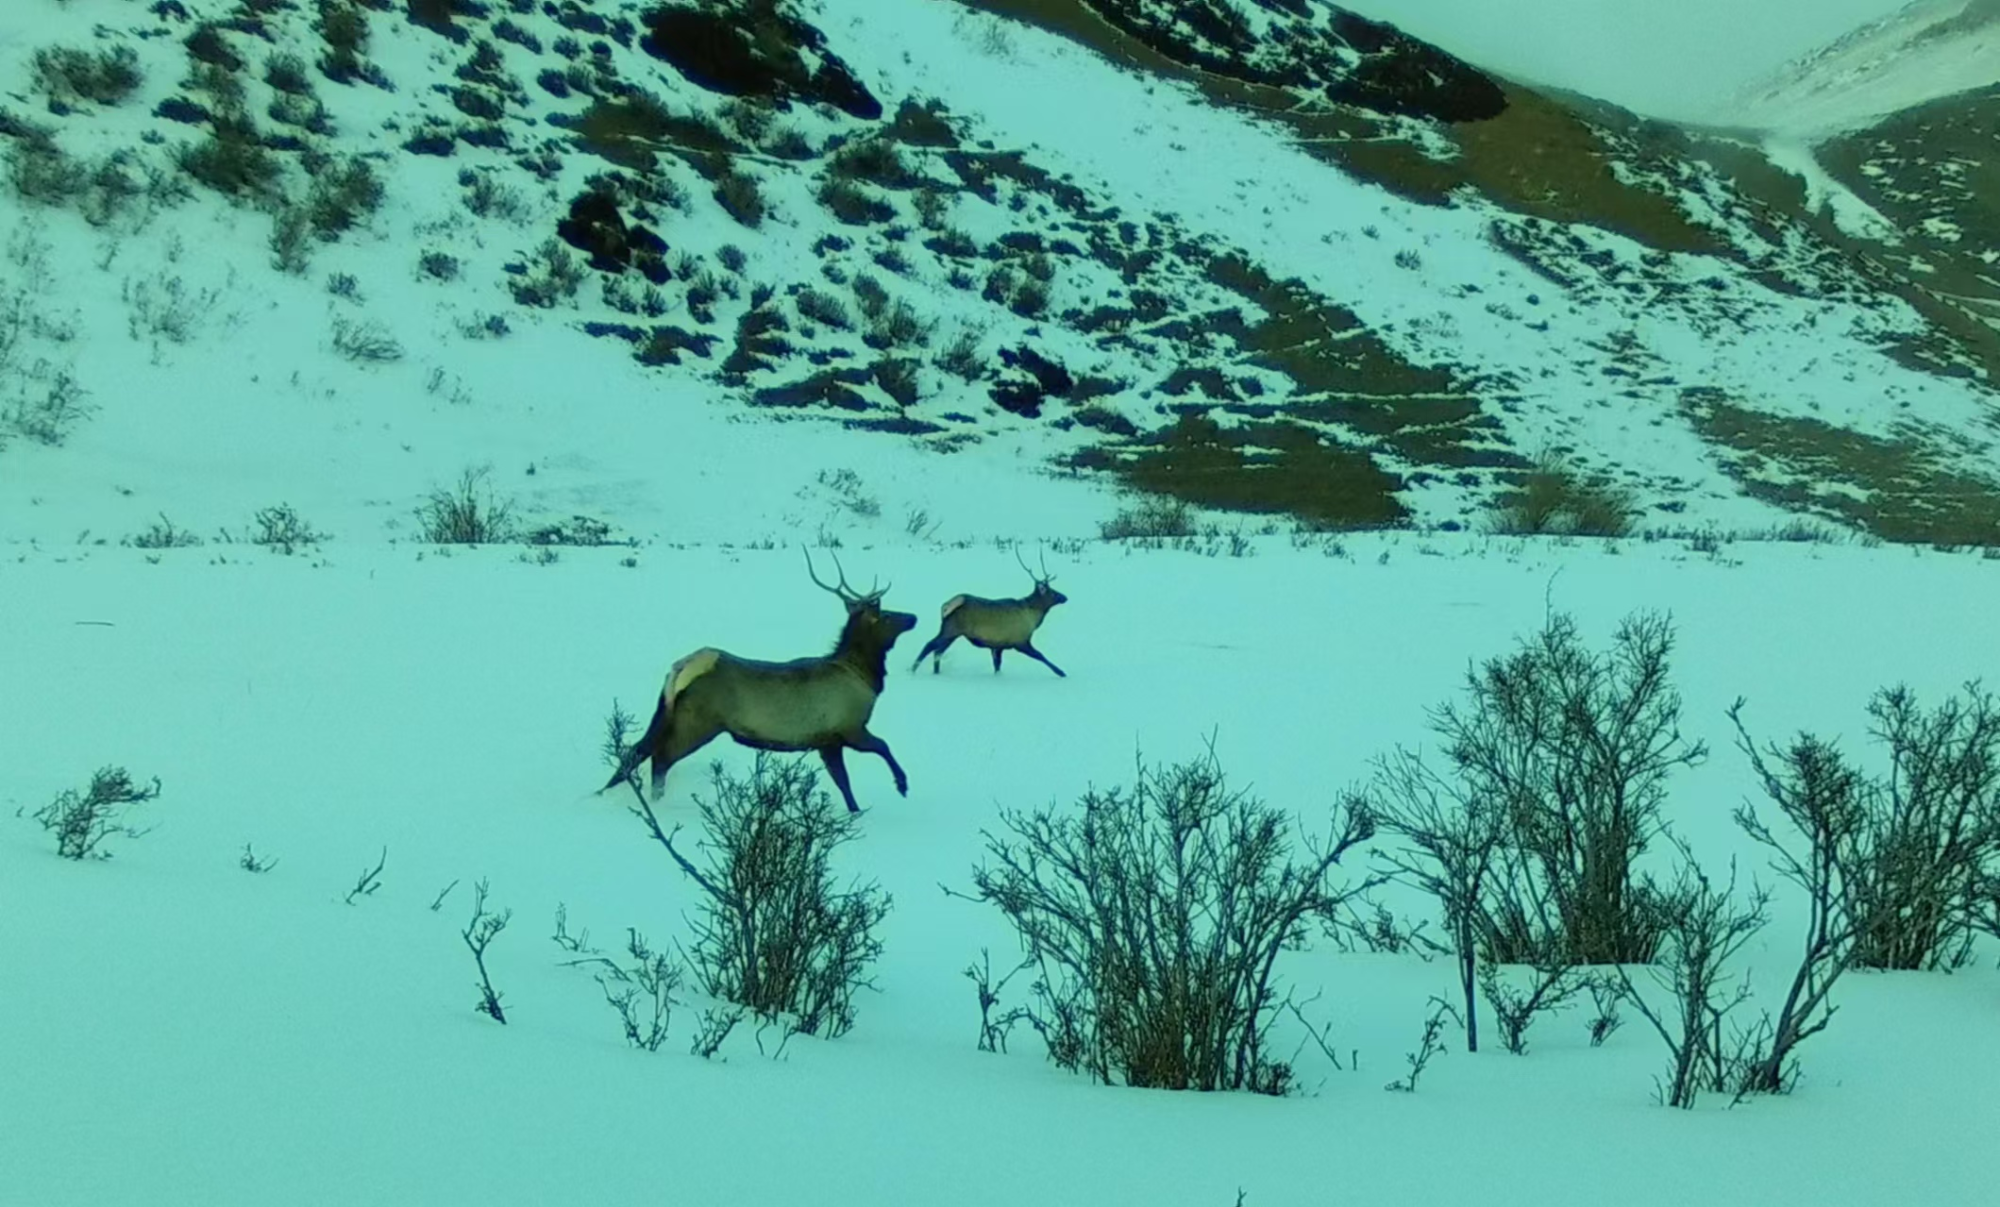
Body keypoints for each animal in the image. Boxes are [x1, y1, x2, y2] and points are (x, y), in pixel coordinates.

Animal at [600, 551, 920, 815]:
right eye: (887, 614)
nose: (914, 617)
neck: (865, 676)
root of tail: (680, 669)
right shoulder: (849, 727)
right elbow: (882, 747)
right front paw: (902, 784)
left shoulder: (826, 740)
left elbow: (843, 781)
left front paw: (855, 812)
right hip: (699, 723)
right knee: (660, 758)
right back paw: (656, 805)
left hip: (667, 712)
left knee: (636, 751)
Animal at [912, 547, 1072, 679]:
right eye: (1053, 592)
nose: (1064, 597)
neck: (1034, 618)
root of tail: (948, 604)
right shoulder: (1020, 641)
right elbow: (1040, 655)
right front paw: (1061, 672)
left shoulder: (998, 645)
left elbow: (997, 665)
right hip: (952, 629)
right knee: (930, 645)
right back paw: (913, 669)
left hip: (951, 631)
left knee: (938, 651)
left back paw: (936, 672)